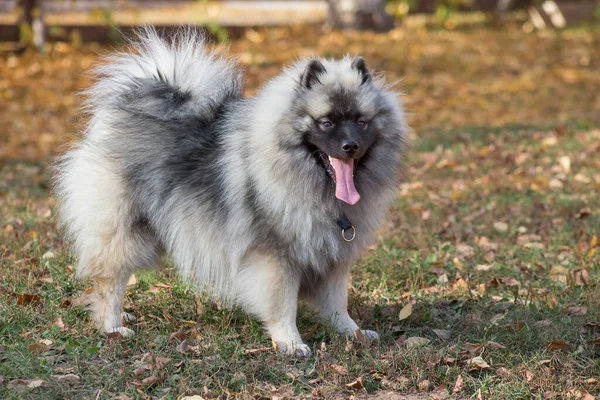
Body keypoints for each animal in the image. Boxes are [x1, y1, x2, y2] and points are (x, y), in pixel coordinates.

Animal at [55, 29, 408, 358]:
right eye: (326, 123)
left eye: (361, 122)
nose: (351, 146)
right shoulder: (275, 256)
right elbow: (282, 304)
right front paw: (291, 342)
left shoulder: (333, 253)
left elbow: (337, 301)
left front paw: (353, 332)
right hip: (126, 232)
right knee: (109, 281)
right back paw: (112, 325)